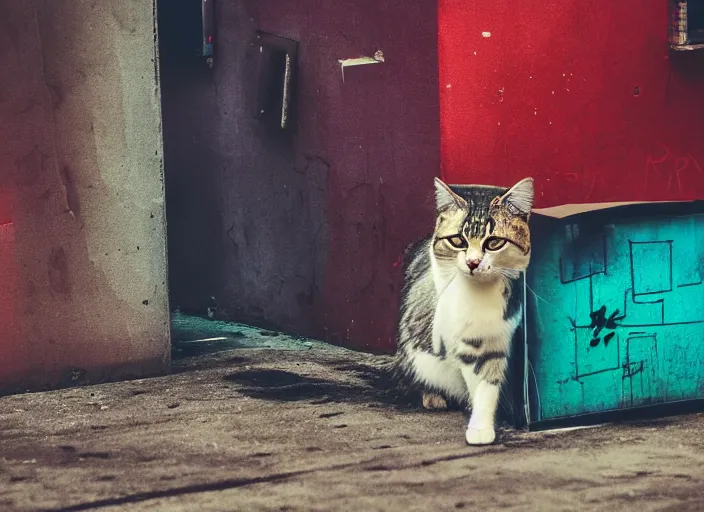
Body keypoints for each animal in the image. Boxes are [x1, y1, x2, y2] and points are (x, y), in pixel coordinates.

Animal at [396, 176, 532, 444]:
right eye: (458, 240)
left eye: (494, 242)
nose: (473, 262)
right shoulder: (465, 339)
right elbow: (477, 379)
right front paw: (480, 428)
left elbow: (489, 383)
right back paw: (433, 397)